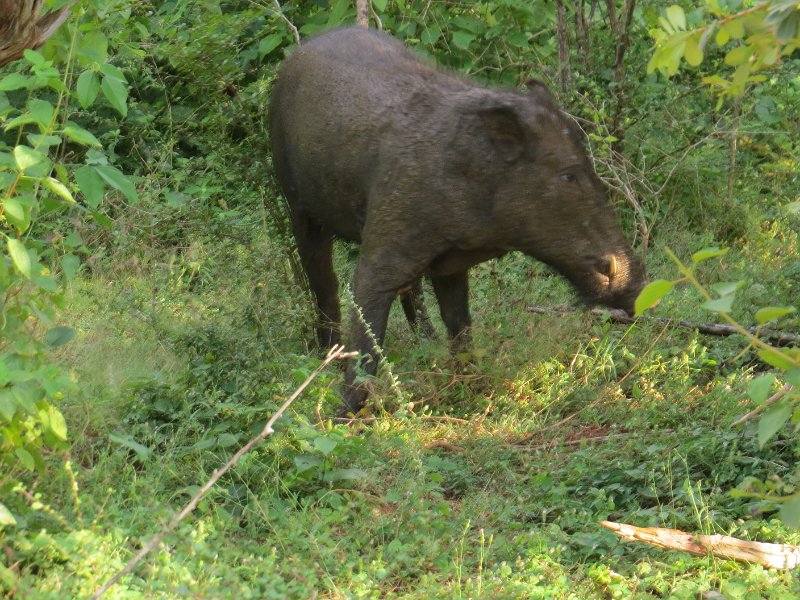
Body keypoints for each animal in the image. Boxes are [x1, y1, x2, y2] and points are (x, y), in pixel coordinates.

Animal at [268, 27, 645, 417]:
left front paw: (470, 384)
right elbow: (367, 334)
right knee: (323, 284)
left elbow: (459, 323)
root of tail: (297, 55)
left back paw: (425, 341)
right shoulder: (381, 251)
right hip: (298, 205)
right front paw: (344, 416)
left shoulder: (448, 262)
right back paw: (323, 357)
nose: (638, 287)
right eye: (568, 174)